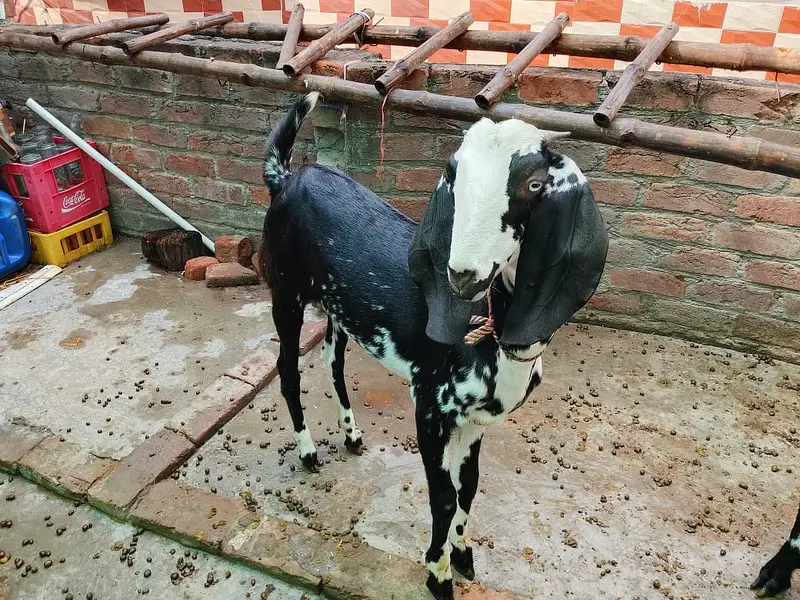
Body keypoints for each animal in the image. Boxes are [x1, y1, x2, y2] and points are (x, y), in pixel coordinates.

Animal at [260, 92, 608, 600]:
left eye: (534, 183)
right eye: (453, 174)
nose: (461, 274)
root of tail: (285, 178)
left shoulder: (474, 421)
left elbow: (470, 486)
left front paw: (462, 555)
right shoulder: (429, 406)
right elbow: (443, 496)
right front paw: (437, 573)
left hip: (337, 308)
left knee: (332, 360)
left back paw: (351, 434)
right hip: (284, 291)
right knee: (288, 367)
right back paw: (307, 452)